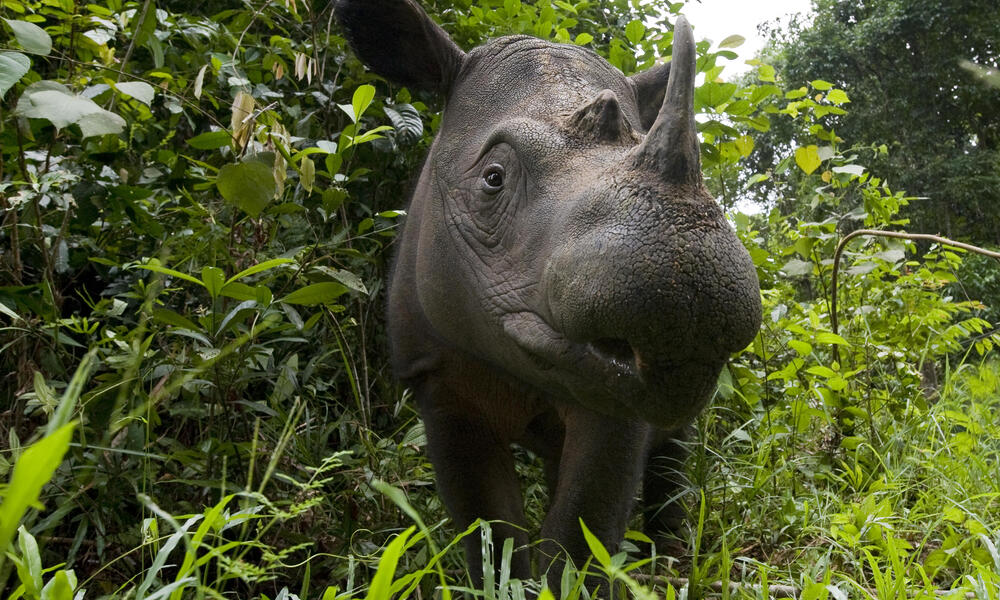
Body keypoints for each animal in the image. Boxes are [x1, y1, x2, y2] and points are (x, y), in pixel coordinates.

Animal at [332, 0, 760, 584]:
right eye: (492, 179)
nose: (691, 303)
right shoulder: (436, 379)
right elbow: (488, 527)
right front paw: (502, 583)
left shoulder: (617, 398)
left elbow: (582, 532)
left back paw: (667, 564)